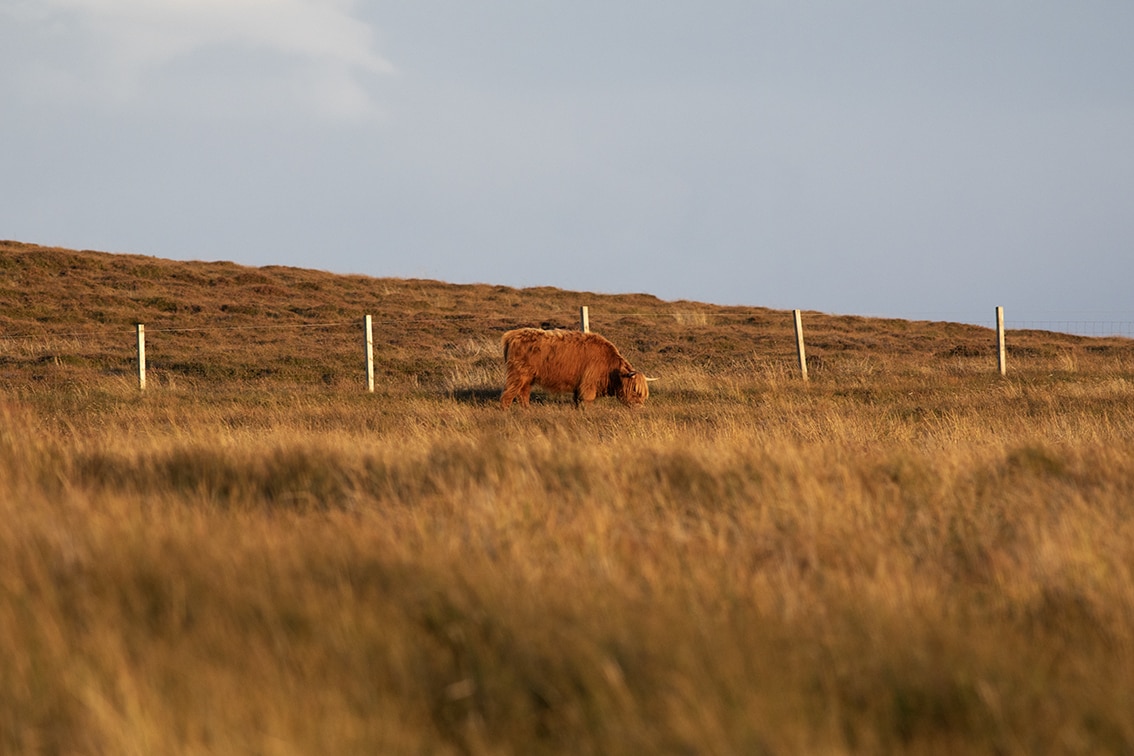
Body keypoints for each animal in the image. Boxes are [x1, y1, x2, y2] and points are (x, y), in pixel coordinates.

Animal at [498, 326, 657, 408]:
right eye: (635, 391)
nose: (639, 407)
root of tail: (512, 334)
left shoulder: (579, 385)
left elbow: (577, 400)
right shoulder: (589, 383)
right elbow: (587, 400)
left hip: (528, 377)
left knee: (523, 393)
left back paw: (527, 410)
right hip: (518, 374)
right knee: (508, 394)